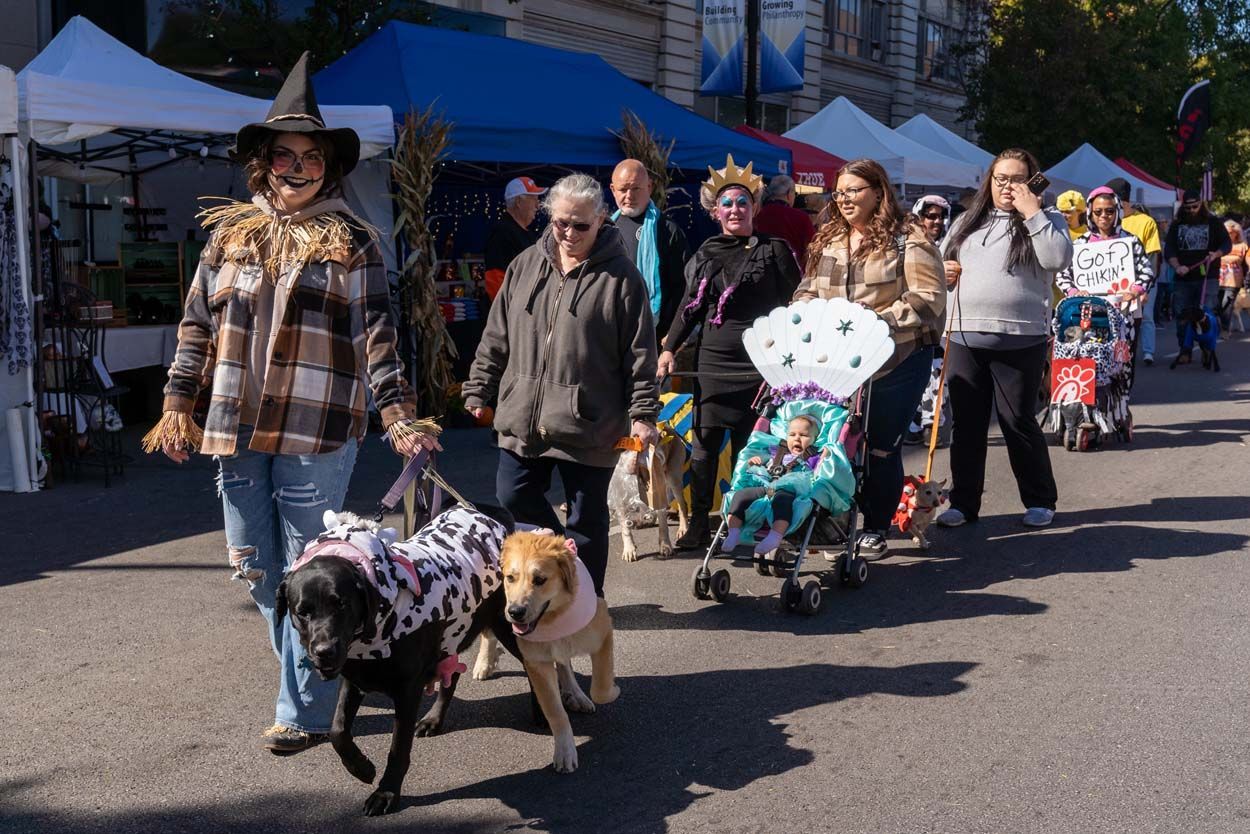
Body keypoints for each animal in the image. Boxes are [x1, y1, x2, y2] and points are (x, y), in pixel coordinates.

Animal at [276, 502, 525, 815]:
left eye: (341, 604)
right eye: (302, 612)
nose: (324, 651)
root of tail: (492, 511)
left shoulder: (407, 691)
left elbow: (398, 747)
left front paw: (386, 793)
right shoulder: (354, 679)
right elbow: (337, 730)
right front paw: (362, 768)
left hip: (511, 626)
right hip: (452, 635)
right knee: (452, 674)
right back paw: (433, 720)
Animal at [487, 532, 615, 775]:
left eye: (540, 580)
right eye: (510, 578)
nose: (515, 612)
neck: (554, 619)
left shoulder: (603, 630)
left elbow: (601, 691)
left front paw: (611, 691)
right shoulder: (536, 663)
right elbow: (555, 712)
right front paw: (565, 751)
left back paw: (576, 694)